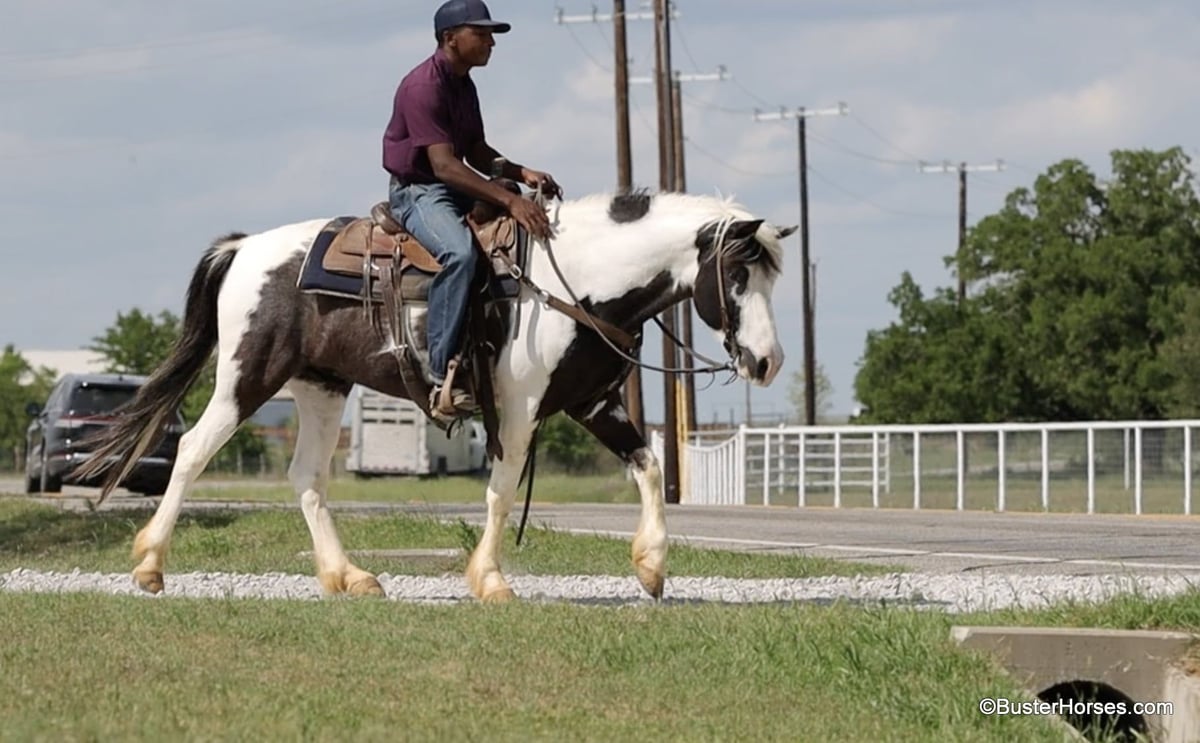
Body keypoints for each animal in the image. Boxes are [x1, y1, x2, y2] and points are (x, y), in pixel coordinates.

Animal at [77, 189, 792, 603]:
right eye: (736, 275)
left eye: (769, 277)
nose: (767, 362)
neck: (578, 283)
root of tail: (245, 246)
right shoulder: (519, 408)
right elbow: (501, 491)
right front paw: (492, 580)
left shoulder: (595, 403)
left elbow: (648, 467)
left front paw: (651, 567)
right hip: (247, 375)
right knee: (194, 450)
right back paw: (150, 567)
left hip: (320, 386)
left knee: (307, 477)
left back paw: (350, 577)